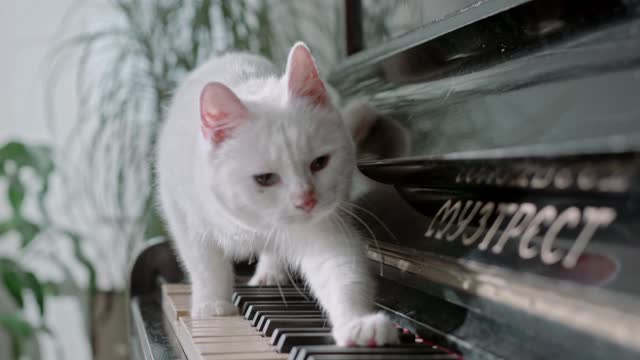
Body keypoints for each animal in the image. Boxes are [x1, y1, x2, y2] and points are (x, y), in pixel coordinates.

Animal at [155, 41, 398, 346]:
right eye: (265, 179)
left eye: (320, 163)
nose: (307, 200)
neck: (250, 225)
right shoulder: (185, 216)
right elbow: (205, 264)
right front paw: (212, 305)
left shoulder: (325, 229)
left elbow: (341, 272)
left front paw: (357, 323)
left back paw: (270, 272)